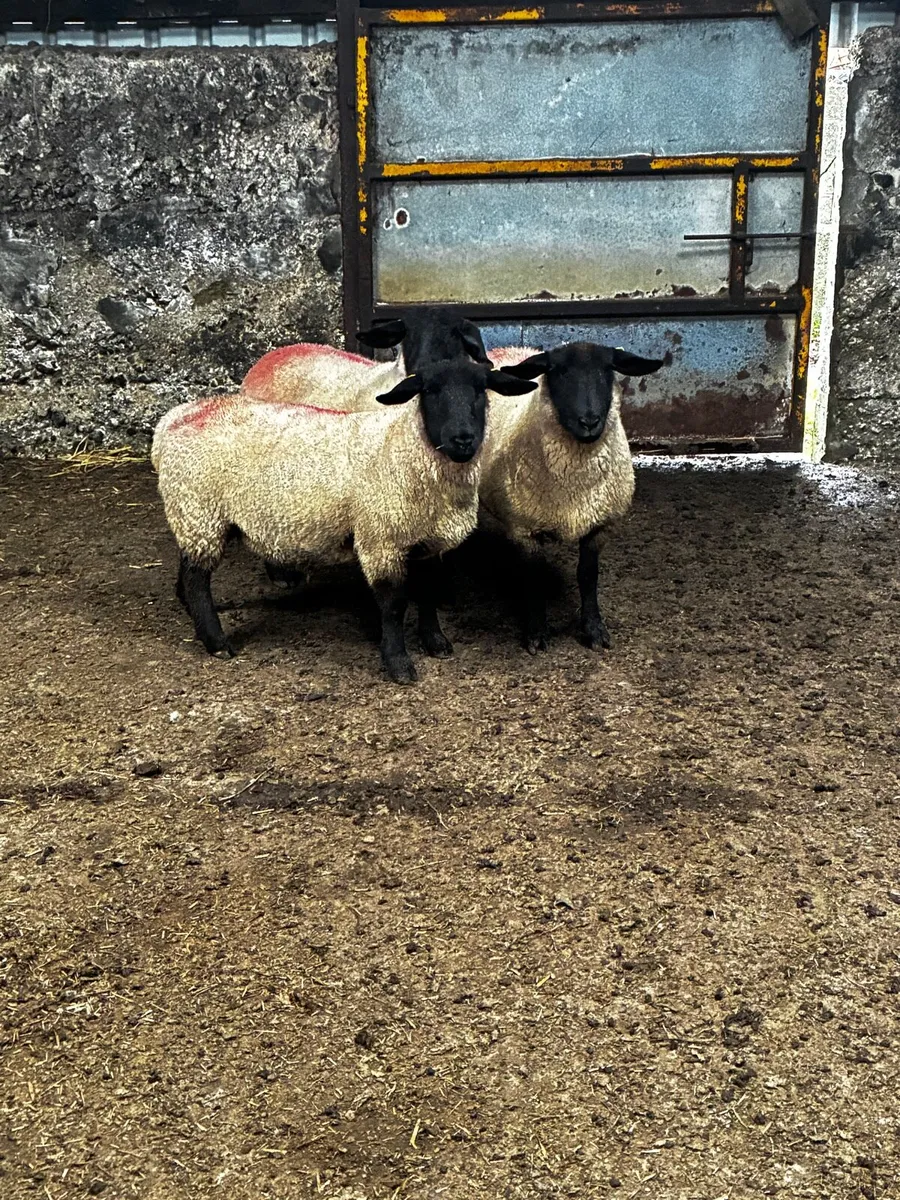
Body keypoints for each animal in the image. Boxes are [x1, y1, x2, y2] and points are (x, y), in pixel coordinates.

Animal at [151, 360, 535, 682]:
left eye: (481, 390)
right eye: (429, 391)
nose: (463, 439)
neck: (402, 447)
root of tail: (172, 420)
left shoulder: (430, 543)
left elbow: (429, 594)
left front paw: (436, 642)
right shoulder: (380, 539)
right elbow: (394, 606)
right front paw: (398, 664)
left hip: (196, 516)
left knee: (188, 569)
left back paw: (191, 613)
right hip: (199, 510)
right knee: (197, 580)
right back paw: (216, 642)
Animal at [479, 342, 664, 654]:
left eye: (606, 370)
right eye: (559, 372)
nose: (589, 421)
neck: (575, 485)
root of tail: (509, 347)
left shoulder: (599, 525)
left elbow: (588, 576)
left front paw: (594, 629)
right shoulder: (525, 529)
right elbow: (534, 578)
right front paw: (536, 633)